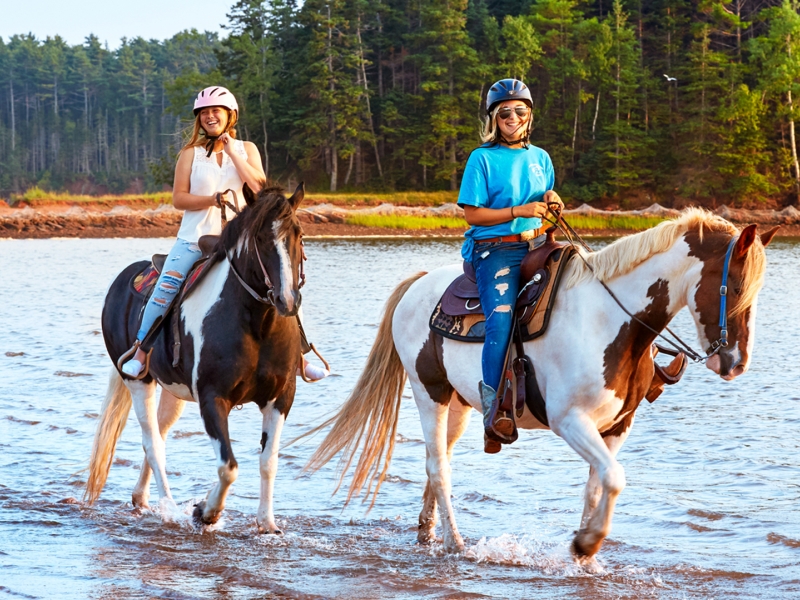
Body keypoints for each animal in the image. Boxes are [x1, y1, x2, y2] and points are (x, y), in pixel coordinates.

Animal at [86, 185, 306, 532]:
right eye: (259, 238)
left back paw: (141, 498)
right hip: (138, 381)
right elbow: (228, 466)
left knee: (159, 436)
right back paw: (169, 507)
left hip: (172, 391)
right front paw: (206, 511)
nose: (286, 299)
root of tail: (122, 280)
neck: (256, 324)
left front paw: (267, 523)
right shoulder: (212, 398)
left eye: (298, 233)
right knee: (153, 444)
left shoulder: (280, 398)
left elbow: (268, 461)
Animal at [304, 207, 776, 564]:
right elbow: (615, 478)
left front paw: (585, 555)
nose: (735, 363)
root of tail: (416, 284)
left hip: (459, 403)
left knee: (434, 464)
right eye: (735, 286)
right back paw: (457, 544)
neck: (609, 320)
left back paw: (427, 533)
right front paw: (586, 543)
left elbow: (598, 485)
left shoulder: (617, 427)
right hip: (428, 393)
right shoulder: (569, 421)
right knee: (439, 468)